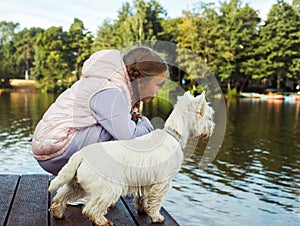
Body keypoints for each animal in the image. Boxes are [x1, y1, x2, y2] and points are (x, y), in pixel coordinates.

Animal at [48, 91, 213, 225]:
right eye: (208, 116)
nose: (211, 128)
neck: (173, 133)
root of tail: (81, 154)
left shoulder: (146, 181)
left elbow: (143, 198)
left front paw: (143, 209)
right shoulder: (162, 182)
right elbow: (156, 201)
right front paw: (156, 217)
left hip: (76, 183)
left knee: (61, 197)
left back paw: (58, 214)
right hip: (109, 189)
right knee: (90, 209)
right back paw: (102, 221)